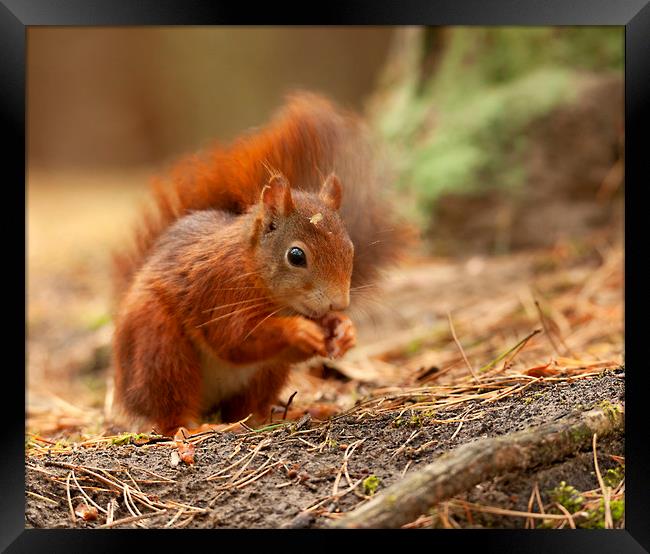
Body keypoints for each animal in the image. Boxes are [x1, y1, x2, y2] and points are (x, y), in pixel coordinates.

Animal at [109, 91, 408, 436]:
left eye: (350, 248)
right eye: (296, 256)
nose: (338, 304)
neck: (254, 270)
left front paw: (344, 330)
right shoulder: (219, 290)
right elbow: (234, 338)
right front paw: (298, 330)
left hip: (267, 374)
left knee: (247, 409)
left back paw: (289, 413)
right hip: (160, 346)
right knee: (170, 411)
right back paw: (192, 428)